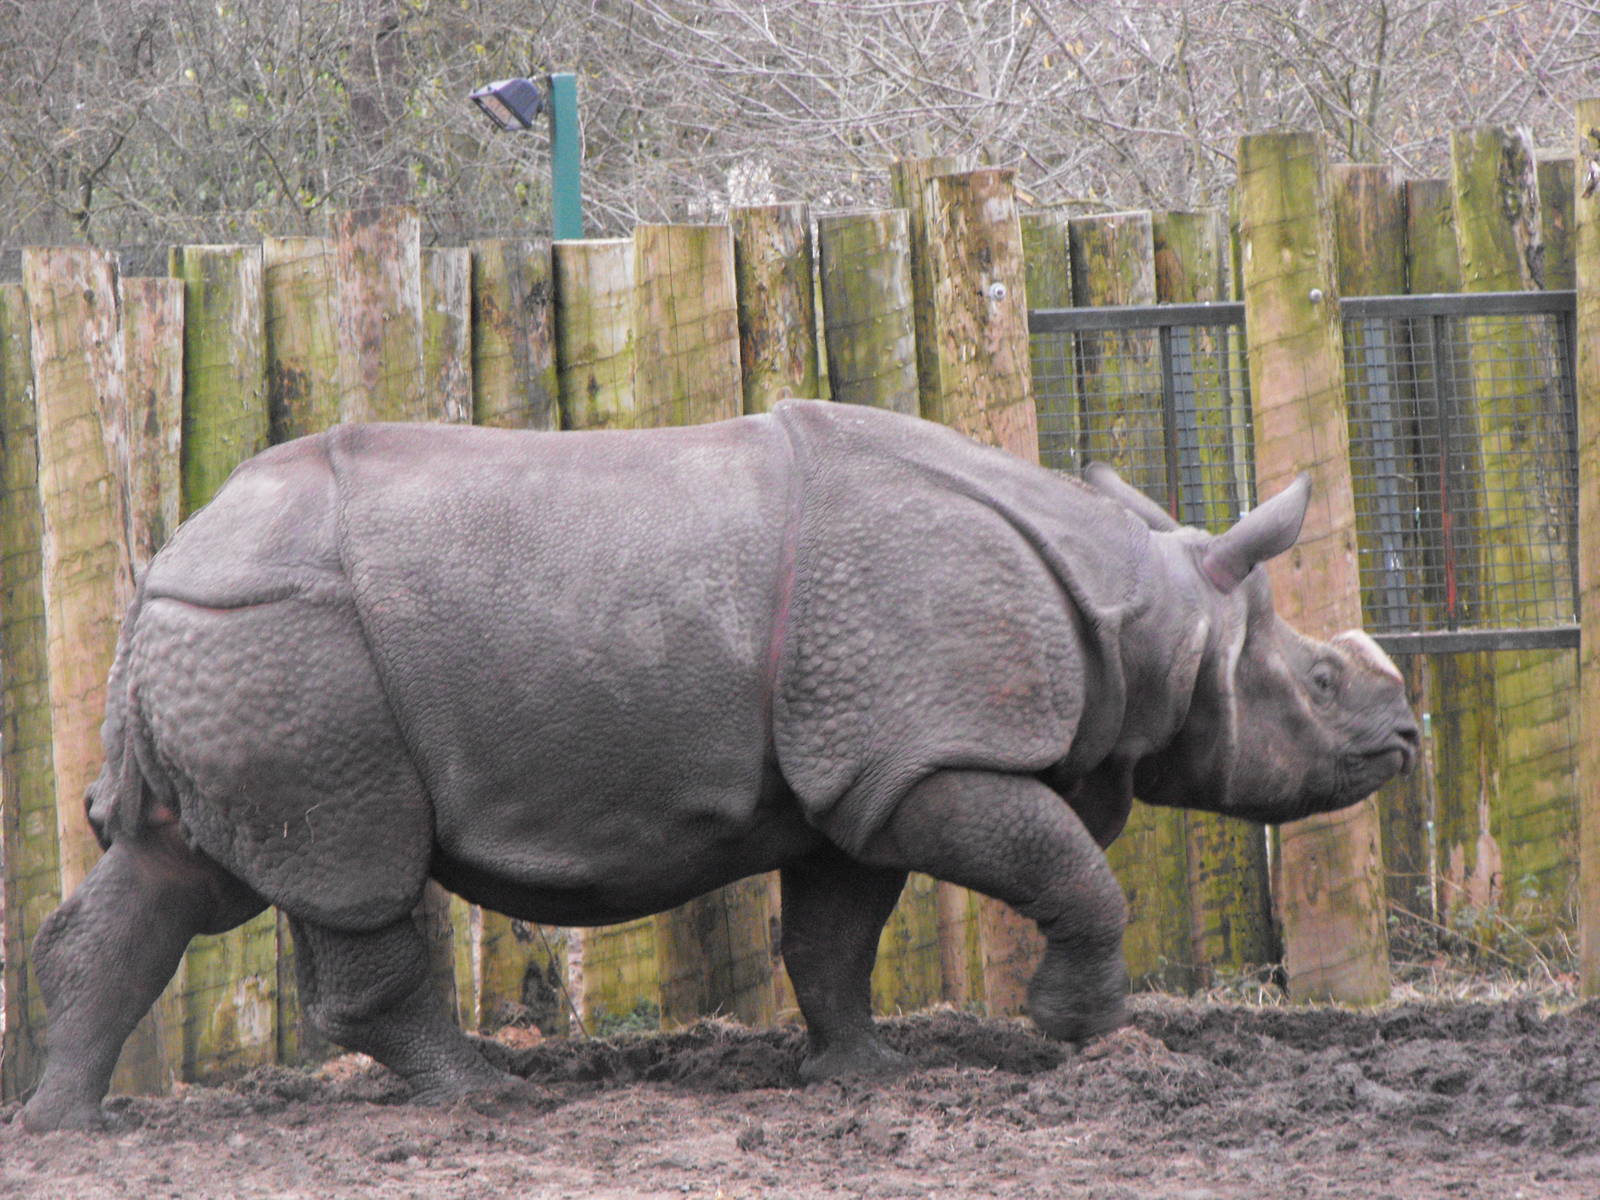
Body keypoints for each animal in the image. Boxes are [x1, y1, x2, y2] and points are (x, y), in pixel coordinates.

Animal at [20, 399, 1417, 1132]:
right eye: (1319, 686)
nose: (1403, 742)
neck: (1149, 616)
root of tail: (166, 563)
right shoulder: (929, 755)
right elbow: (1072, 873)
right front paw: (1084, 1040)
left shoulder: (858, 777)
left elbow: (833, 937)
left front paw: (863, 1077)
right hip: (294, 646)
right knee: (352, 874)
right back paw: (489, 1100)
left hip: (234, 638)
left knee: (177, 873)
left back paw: (67, 1126)